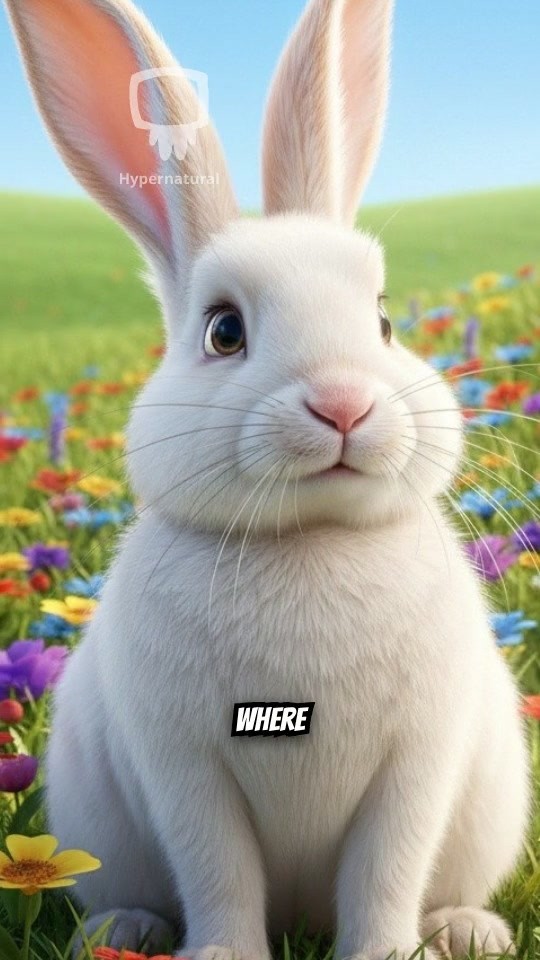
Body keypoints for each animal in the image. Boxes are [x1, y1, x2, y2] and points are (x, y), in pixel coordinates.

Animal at [6, 0, 529, 957]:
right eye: (223, 332)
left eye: (385, 321)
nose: (344, 404)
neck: (311, 538)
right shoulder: (187, 770)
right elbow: (219, 872)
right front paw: (222, 955)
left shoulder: (414, 767)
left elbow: (386, 872)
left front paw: (387, 953)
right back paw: (122, 927)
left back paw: (469, 930)